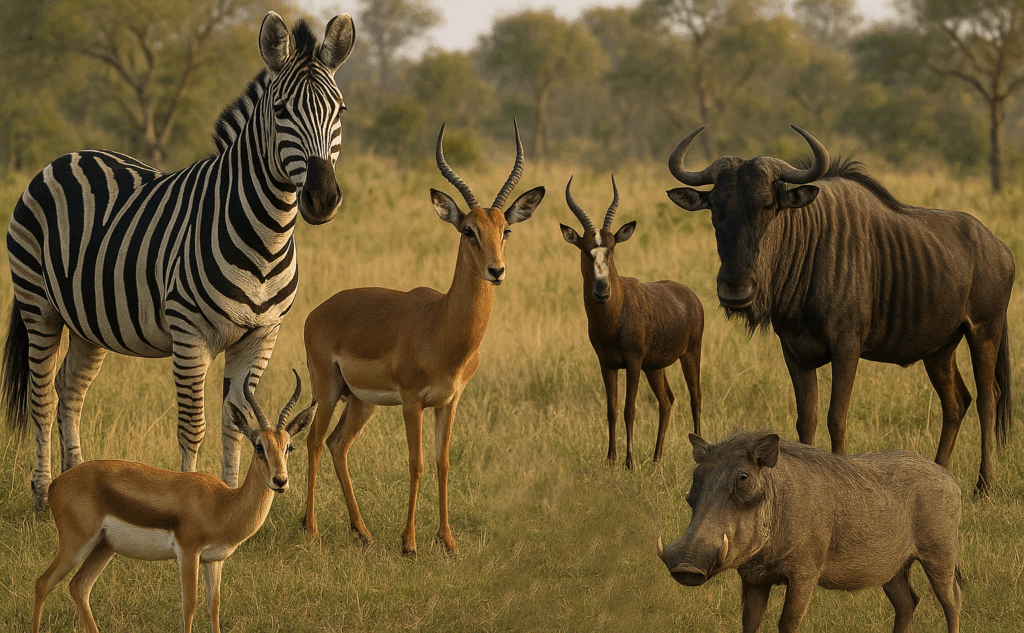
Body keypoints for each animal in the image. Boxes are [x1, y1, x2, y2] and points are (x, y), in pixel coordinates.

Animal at [1, 12, 356, 512]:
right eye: (281, 110)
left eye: (339, 111)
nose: (322, 198)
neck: (266, 237)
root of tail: (67, 156)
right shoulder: (191, 335)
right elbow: (194, 426)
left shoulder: (261, 336)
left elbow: (234, 422)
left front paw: (232, 499)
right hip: (39, 304)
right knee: (42, 396)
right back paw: (42, 495)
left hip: (88, 321)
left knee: (70, 388)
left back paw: (74, 481)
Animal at [32, 371, 316, 633]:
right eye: (258, 446)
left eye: (289, 447)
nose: (280, 481)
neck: (222, 505)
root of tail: (56, 484)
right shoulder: (188, 553)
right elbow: (189, 605)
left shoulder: (214, 560)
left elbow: (214, 605)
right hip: (77, 544)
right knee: (43, 583)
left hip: (104, 547)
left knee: (79, 587)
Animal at [301, 122, 545, 555]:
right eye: (468, 230)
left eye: (506, 229)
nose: (496, 270)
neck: (442, 328)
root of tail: (317, 312)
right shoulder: (412, 401)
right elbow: (414, 464)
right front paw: (409, 543)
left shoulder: (448, 402)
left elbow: (442, 462)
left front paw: (447, 541)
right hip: (327, 390)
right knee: (313, 441)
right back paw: (311, 531)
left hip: (361, 401)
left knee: (336, 444)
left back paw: (363, 532)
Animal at [559, 176, 704, 469]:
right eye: (585, 249)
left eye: (612, 248)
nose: (602, 291)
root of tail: (690, 295)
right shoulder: (607, 364)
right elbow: (612, 410)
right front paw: (611, 460)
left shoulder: (634, 362)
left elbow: (629, 409)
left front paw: (630, 462)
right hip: (655, 367)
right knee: (667, 400)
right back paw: (657, 460)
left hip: (690, 354)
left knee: (695, 398)